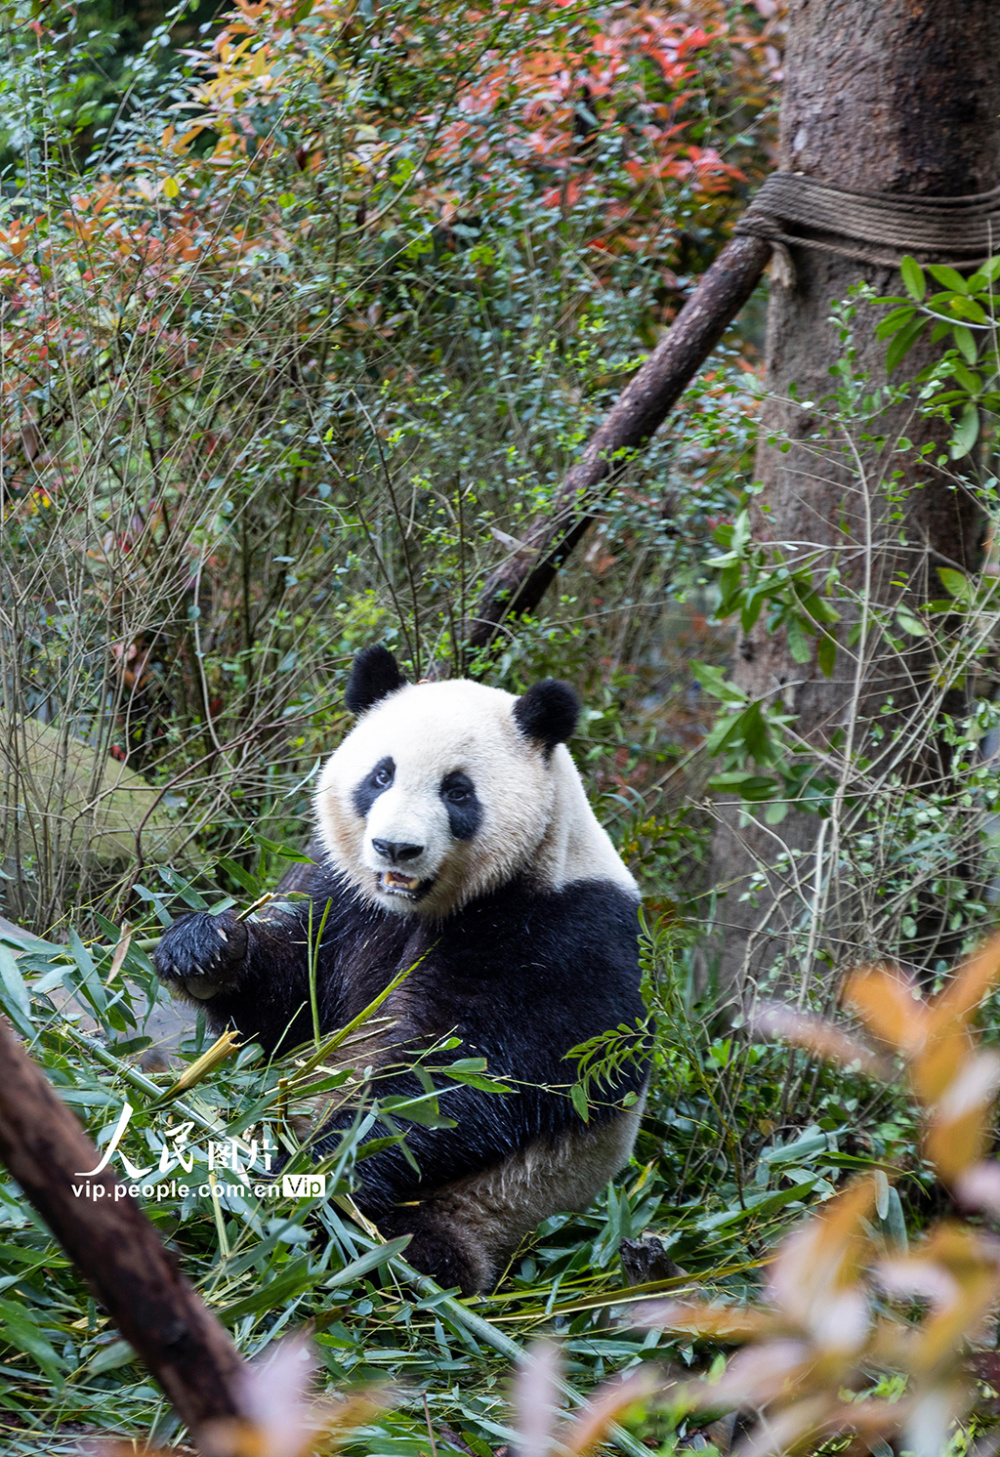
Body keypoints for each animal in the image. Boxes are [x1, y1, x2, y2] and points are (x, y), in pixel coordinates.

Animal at [153, 643, 647, 1293]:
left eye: (458, 792)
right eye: (381, 775)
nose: (396, 848)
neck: (424, 906)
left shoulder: (561, 936)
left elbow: (468, 1080)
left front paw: (314, 1169)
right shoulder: (346, 899)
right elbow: (291, 1007)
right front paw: (204, 948)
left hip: (483, 1211)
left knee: (419, 1248)